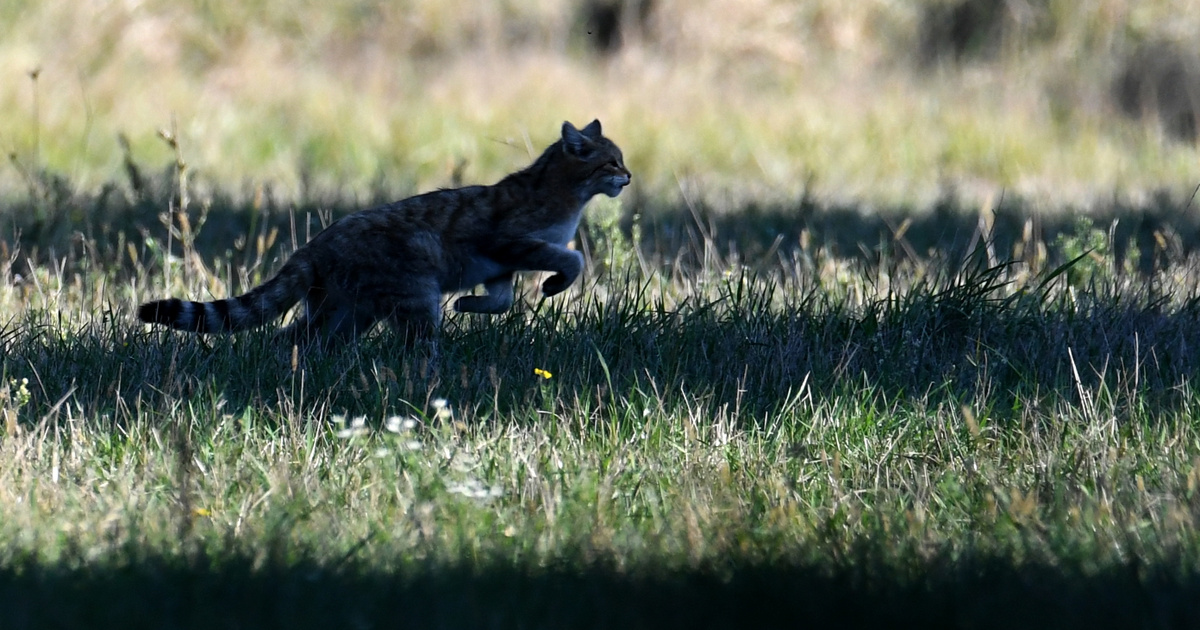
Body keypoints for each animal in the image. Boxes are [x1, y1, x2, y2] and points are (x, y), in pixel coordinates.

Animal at [137, 117, 633, 343]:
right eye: (612, 162)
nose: (628, 177)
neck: (561, 194)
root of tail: (315, 244)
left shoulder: (499, 267)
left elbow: (501, 299)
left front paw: (468, 304)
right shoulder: (510, 243)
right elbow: (571, 257)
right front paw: (552, 283)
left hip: (346, 312)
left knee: (291, 338)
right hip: (411, 301)